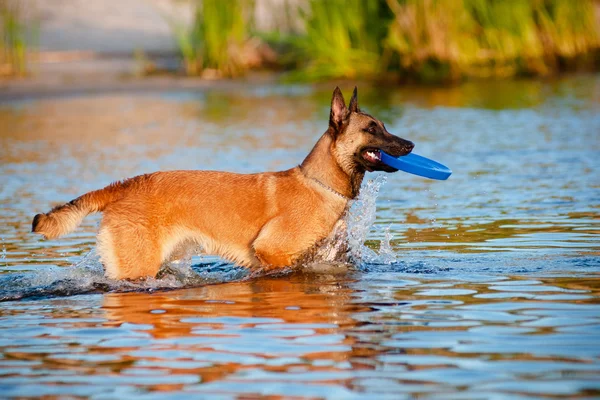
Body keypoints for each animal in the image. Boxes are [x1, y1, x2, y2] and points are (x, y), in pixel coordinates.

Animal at [31, 88, 412, 280]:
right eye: (372, 129)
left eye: (383, 125)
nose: (409, 146)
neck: (320, 184)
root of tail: (126, 184)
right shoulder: (273, 254)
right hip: (136, 267)